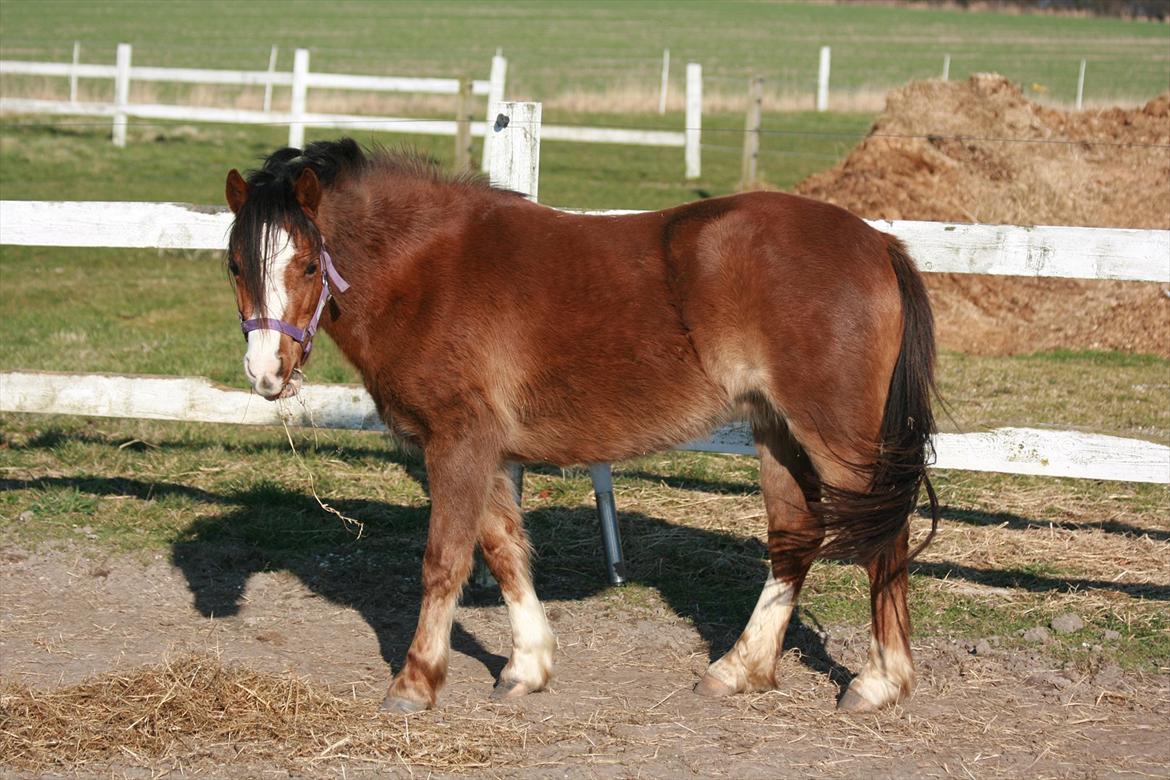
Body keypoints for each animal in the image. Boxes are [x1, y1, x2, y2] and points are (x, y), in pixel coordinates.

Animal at [225, 138, 940, 715]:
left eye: (309, 265)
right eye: (236, 266)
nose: (265, 372)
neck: (429, 269)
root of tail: (878, 242)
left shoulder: (457, 441)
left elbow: (445, 560)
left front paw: (415, 683)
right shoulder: (486, 449)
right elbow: (504, 551)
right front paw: (527, 666)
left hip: (836, 438)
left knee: (884, 540)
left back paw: (879, 683)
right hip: (778, 433)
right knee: (794, 540)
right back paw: (738, 669)